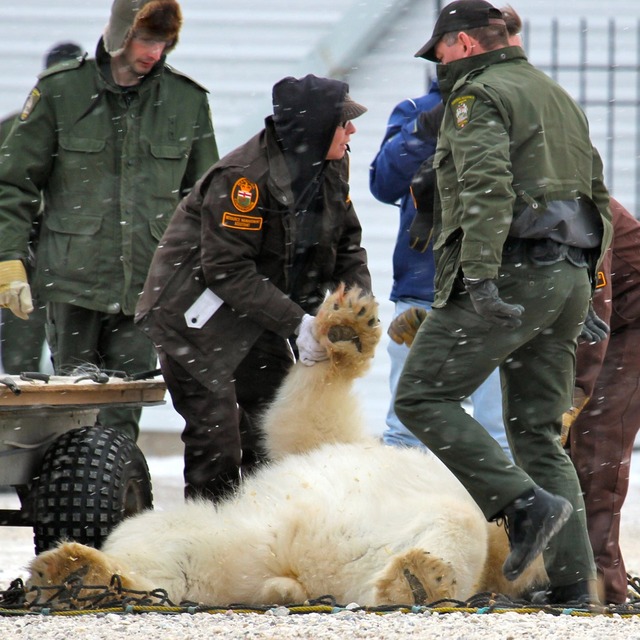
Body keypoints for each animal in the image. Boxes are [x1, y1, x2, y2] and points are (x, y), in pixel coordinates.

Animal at [25, 284, 545, 608]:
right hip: (230, 538)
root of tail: (298, 574)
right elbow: (306, 424)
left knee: (455, 528)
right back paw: (76, 574)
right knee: (167, 550)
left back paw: (420, 579)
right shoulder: (337, 440)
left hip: (377, 551)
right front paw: (345, 327)